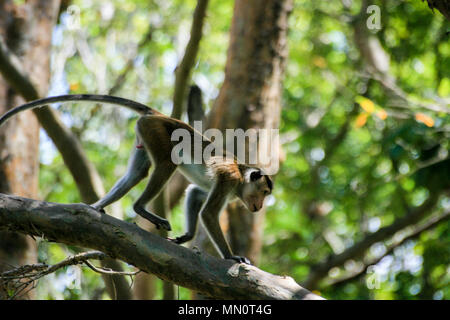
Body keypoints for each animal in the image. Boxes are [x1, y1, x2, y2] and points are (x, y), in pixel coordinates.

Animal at [0, 94, 272, 264]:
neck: (241, 178)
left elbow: (196, 193)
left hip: (145, 133)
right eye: (263, 192)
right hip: (157, 131)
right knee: (166, 163)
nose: (259, 207)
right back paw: (139, 208)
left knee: (138, 172)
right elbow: (208, 213)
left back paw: (96, 207)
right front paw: (231, 257)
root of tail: (159, 115)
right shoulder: (229, 178)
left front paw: (187, 236)